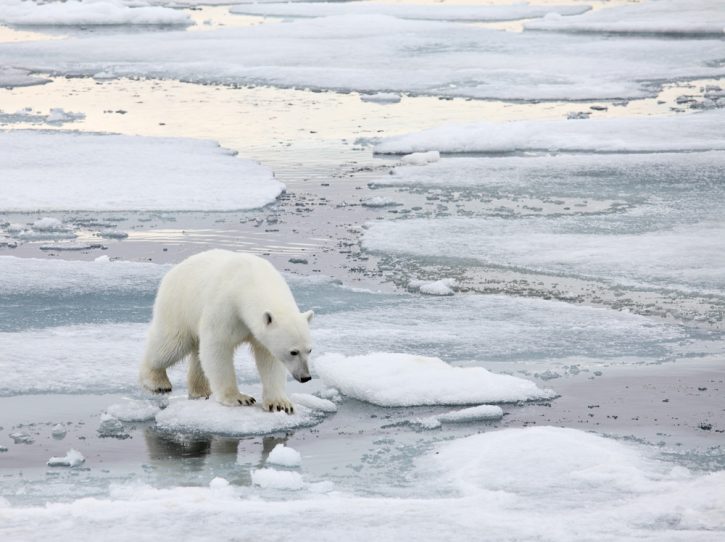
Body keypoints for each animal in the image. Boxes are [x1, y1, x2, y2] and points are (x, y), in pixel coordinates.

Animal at [139, 249, 313, 414]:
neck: (252, 281)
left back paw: (201, 391)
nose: (306, 377)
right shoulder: (226, 307)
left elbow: (269, 358)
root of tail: (174, 270)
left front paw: (280, 404)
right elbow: (217, 347)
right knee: (171, 344)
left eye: (309, 350)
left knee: (197, 354)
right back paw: (157, 382)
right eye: (293, 352)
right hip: (179, 304)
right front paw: (239, 398)